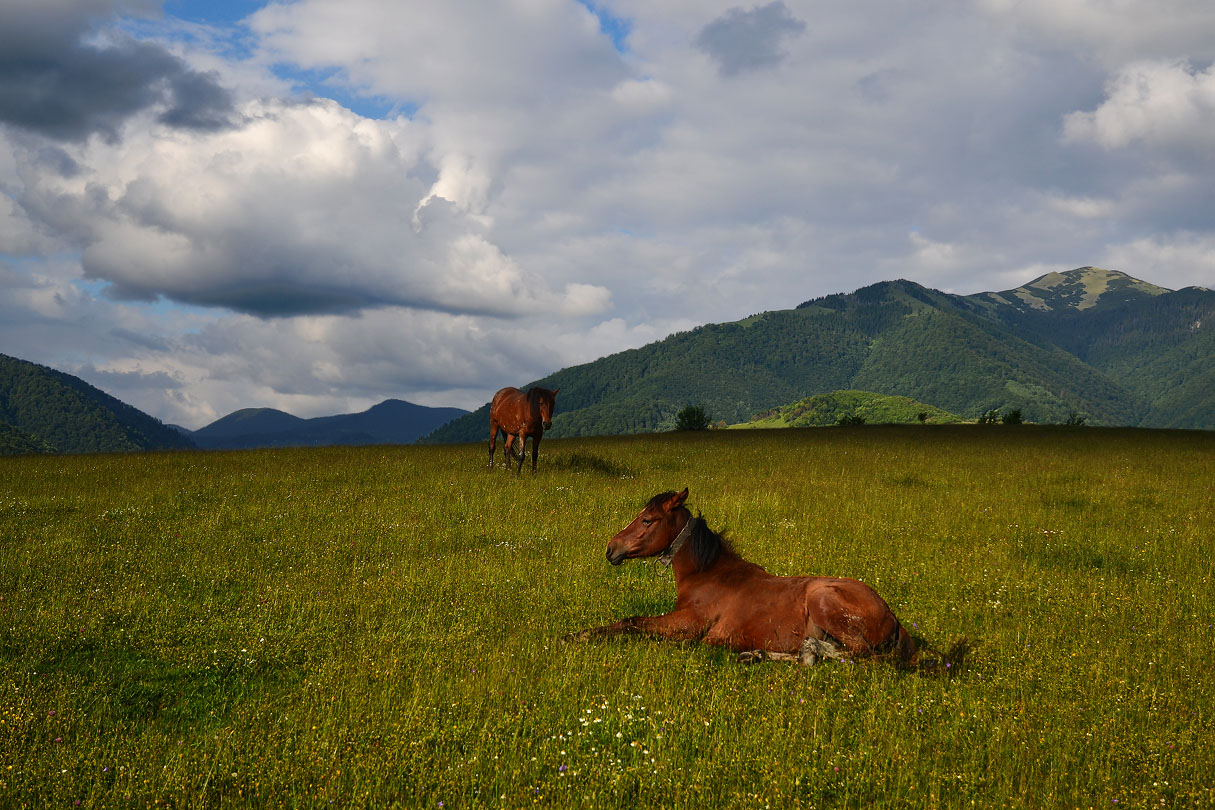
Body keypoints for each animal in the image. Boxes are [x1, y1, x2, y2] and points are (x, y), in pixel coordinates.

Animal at [563, 488, 913, 665]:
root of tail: (893, 617)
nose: (611, 548)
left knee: (856, 656)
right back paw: (759, 654)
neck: (708, 574)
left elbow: (631, 622)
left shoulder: (688, 625)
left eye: (647, 520)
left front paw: (577, 636)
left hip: (823, 600)